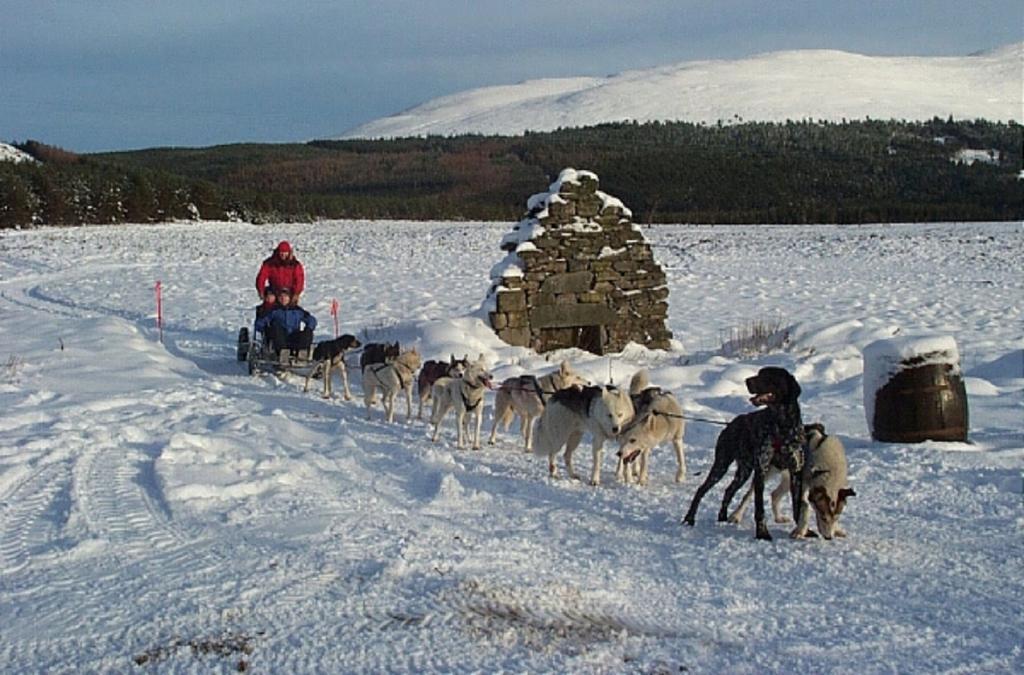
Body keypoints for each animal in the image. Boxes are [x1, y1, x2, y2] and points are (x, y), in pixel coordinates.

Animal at [679, 366, 806, 540]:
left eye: (769, 376)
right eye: (760, 373)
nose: (747, 380)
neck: (782, 427)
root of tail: (731, 423)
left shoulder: (796, 471)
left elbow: (797, 506)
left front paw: (800, 530)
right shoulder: (761, 471)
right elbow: (760, 509)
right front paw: (762, 533)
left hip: (743, 472)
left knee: (728, 490)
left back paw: (722, 516)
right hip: (721, 466)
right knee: (701, 490)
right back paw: (689, 518)